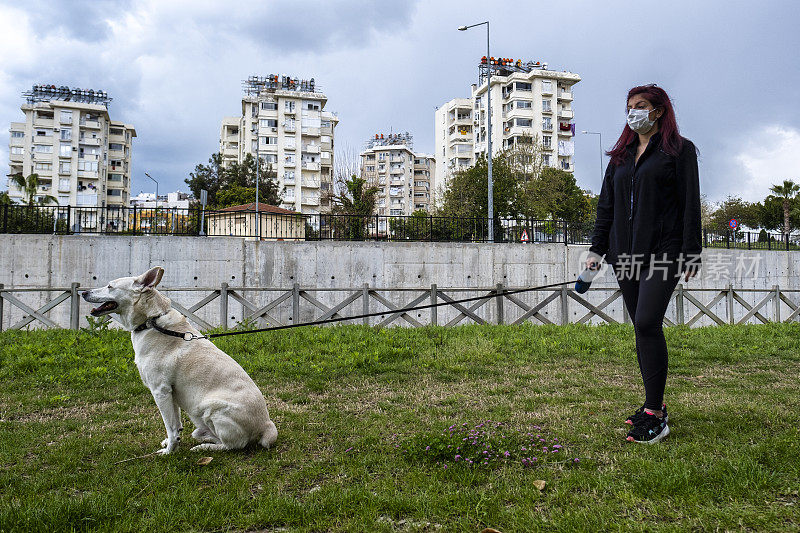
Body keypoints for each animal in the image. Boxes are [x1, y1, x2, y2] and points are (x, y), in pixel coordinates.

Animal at [82, 266, 278, 454]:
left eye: (109, 286)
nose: (83, 293)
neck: (151, 321)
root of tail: (267, 426)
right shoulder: (171, 394)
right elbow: (176, 424)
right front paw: (171, 443)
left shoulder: (160, 391)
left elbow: (171, 427)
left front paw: (169, 451)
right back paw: (204, 437)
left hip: (211, 408)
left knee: (234, 445)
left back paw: (205, 447)